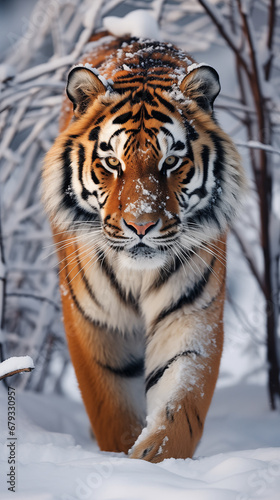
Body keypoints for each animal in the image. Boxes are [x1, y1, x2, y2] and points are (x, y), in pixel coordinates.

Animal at [42, 29, 246, 462]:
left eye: (171, 162)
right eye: (112, 163)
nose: (141, 225)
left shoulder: (190, 319)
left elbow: (178, 412)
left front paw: (154, 463)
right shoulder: (95, 324)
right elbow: (114, 413)